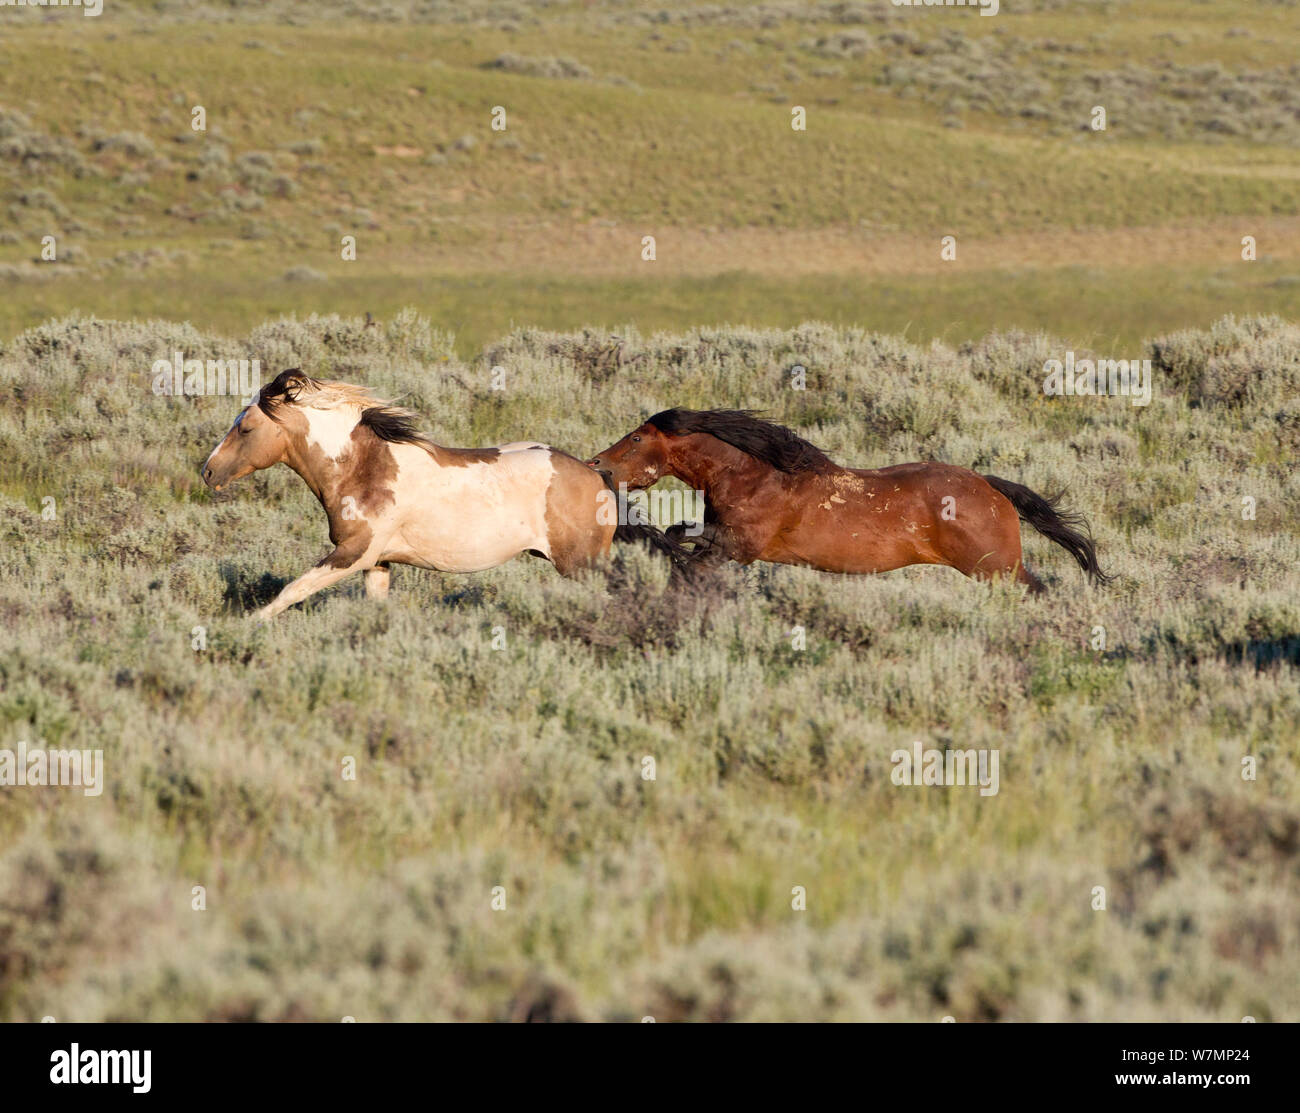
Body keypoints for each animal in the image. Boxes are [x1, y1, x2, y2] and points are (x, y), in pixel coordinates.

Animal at [202, 369, 681, 621]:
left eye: (245, 428)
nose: (208, 471)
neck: (365, 469)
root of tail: (598, 478)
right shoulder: (378, 563)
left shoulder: (352, 553)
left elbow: (289, 592)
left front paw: (245, 626)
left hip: (581, 565)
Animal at [590, 405, 1107, 590]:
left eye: (636, 438)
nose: (597, 464)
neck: (758, 476)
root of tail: (991, 487)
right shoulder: (720, 539)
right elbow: (681, 535)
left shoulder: (736, 547)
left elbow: (688, 554)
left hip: (996, 567)